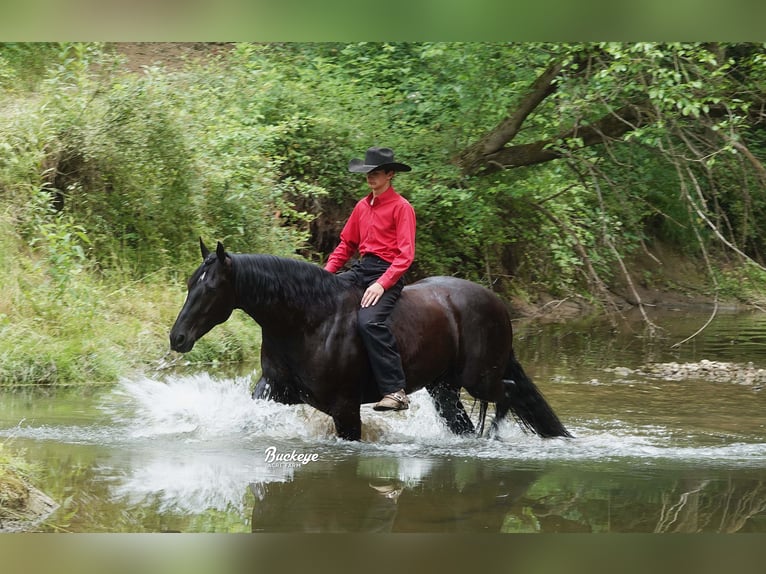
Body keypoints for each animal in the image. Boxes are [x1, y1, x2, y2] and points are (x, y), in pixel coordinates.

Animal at [170, 241, 576, 444]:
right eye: (190, 282)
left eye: (211, 288)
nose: (178, 338)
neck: (309, 321)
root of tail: (497, 303)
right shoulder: (276, 390)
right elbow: (248, 419)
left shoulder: (346, 409)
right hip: (443, 388)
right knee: (467, 418)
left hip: (480, 378)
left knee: (507, 392)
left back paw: (492, 437)